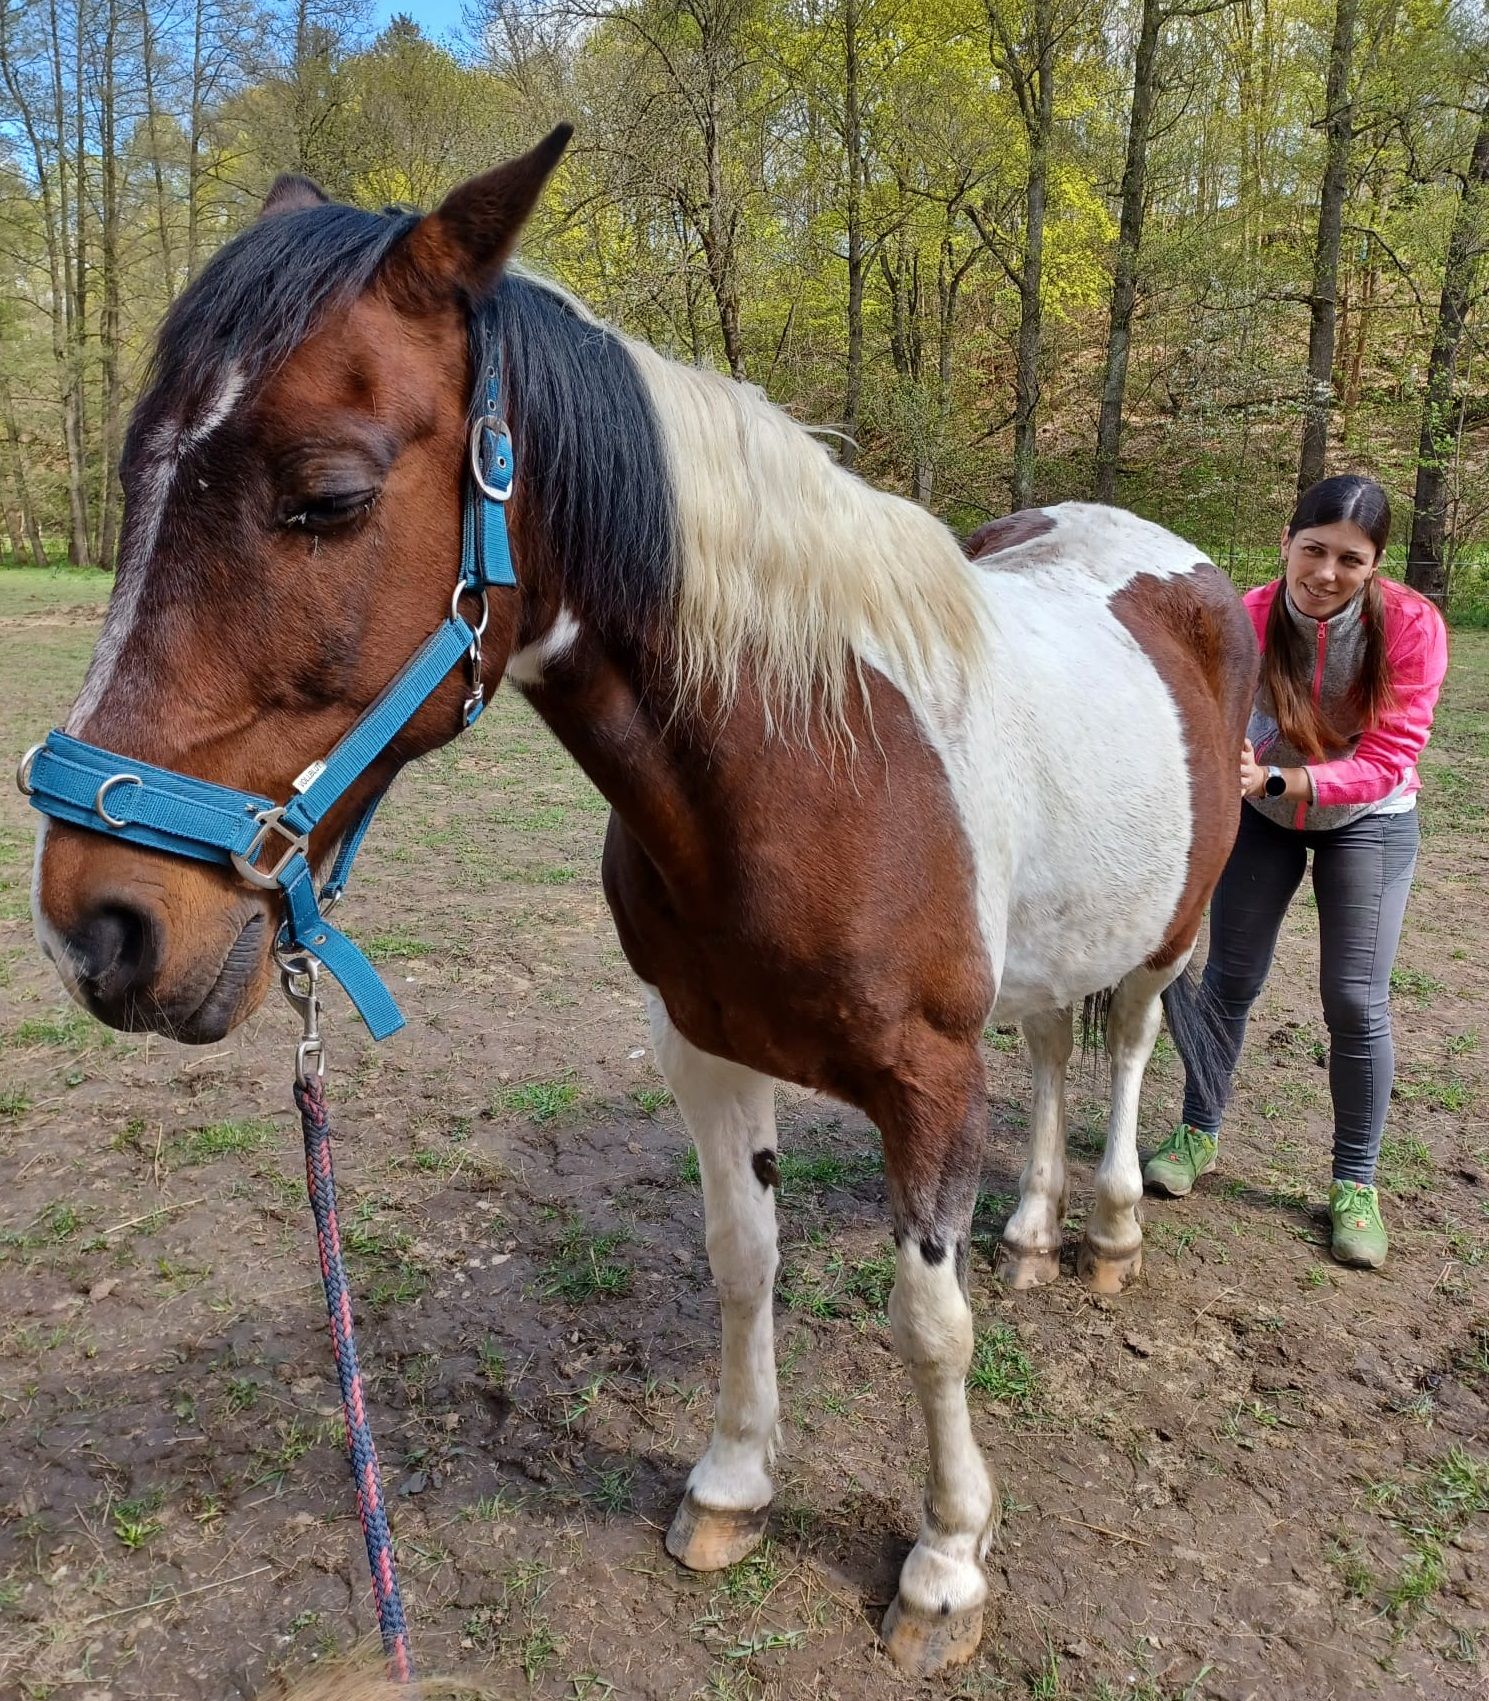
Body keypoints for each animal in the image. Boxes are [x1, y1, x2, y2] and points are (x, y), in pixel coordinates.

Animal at [27, 128, 1257, 1676]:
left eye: (329, 496)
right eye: (137, 478)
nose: (98, 928)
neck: (820, 758)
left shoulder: (925, 1078)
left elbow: (928, 1321)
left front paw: (943, 1564)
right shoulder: (703, 1044)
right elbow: (741, 1259)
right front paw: (731, 1488)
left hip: (1164, 937)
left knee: (1130, 1051)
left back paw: (1102, 1235)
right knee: (1046, 1051)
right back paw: (1033, 1235)